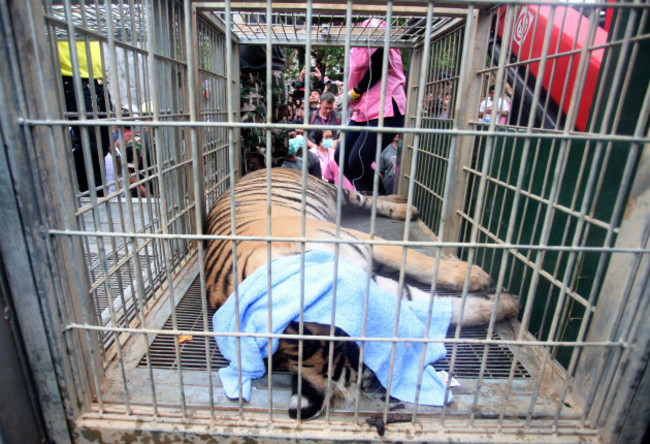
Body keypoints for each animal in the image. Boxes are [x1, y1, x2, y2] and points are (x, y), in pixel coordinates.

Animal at [202, 167, 516, 420]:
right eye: (368, 378)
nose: (385, 387)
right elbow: (437, 304)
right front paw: (503, 303)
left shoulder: (365, 243)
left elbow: (418, 262)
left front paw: (478, 279)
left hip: (334, 192)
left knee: (366, 196)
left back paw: (405, 206)